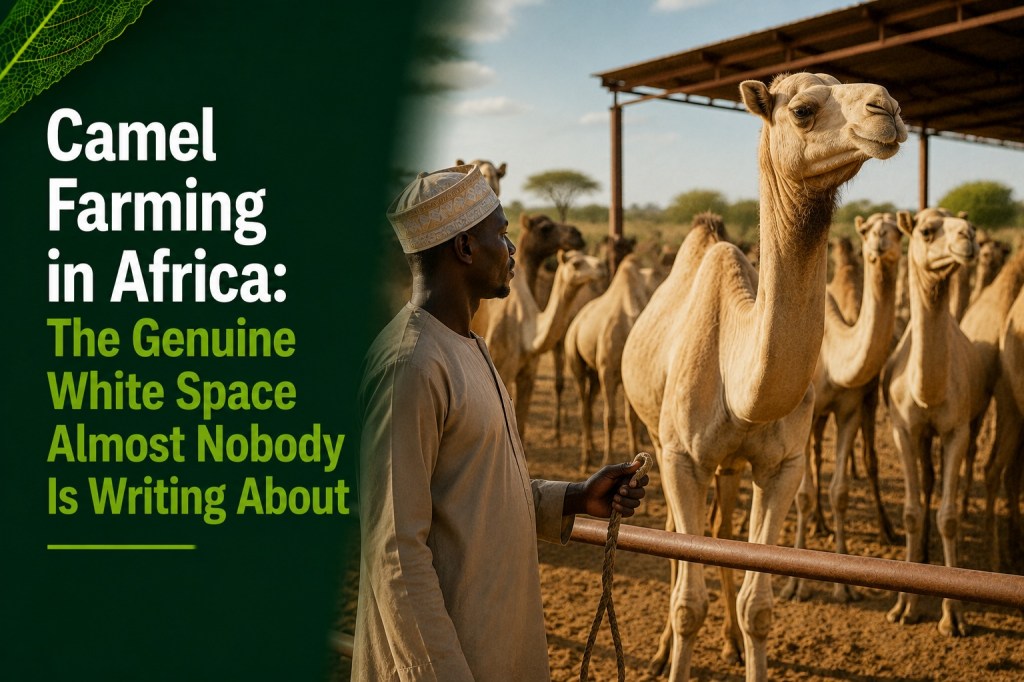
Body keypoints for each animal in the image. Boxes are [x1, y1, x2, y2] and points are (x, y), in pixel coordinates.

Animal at [478, 249, 603, 440]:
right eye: (576, 264)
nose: (601, 267)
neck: (528, 335)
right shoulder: (503, 368)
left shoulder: (529, 374)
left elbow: (521, 425)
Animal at [565, 252, 650, 471]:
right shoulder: (608, 372)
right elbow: (610, 418)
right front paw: (608, 460)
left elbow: (631, 418)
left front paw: (635, 455)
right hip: (577, 360)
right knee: (584, 406)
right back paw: (585, 460)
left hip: (595, 375)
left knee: (588, 402)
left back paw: (590, 454)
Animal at [782, 213, 903, 603]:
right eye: (868, 230)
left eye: (898, 230)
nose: (880, 242)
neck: (835, 356)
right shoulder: (804, 414)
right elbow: (804, 494)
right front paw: (795, 585)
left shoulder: (848, 410)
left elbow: (840, 491)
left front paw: (844, 586)